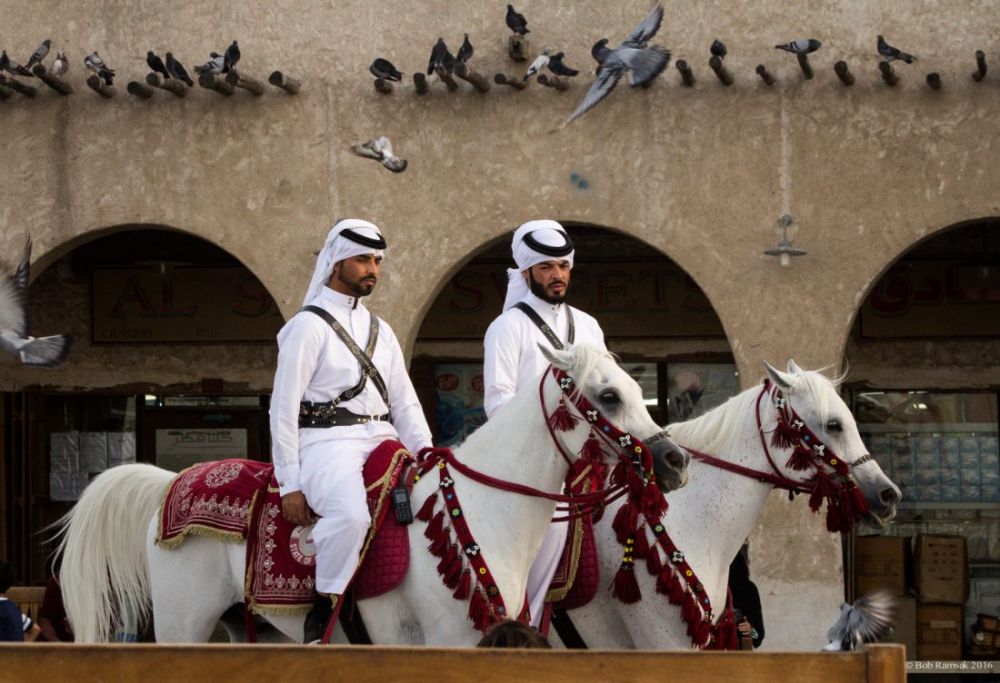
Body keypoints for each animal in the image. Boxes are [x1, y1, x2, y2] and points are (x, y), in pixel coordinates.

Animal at [56, 348, 696, 648]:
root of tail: (171, 482)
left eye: (637, 387)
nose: (675, 461)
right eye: (608, 396)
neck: (484, 507)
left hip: (237, 624)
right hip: (182, 622)